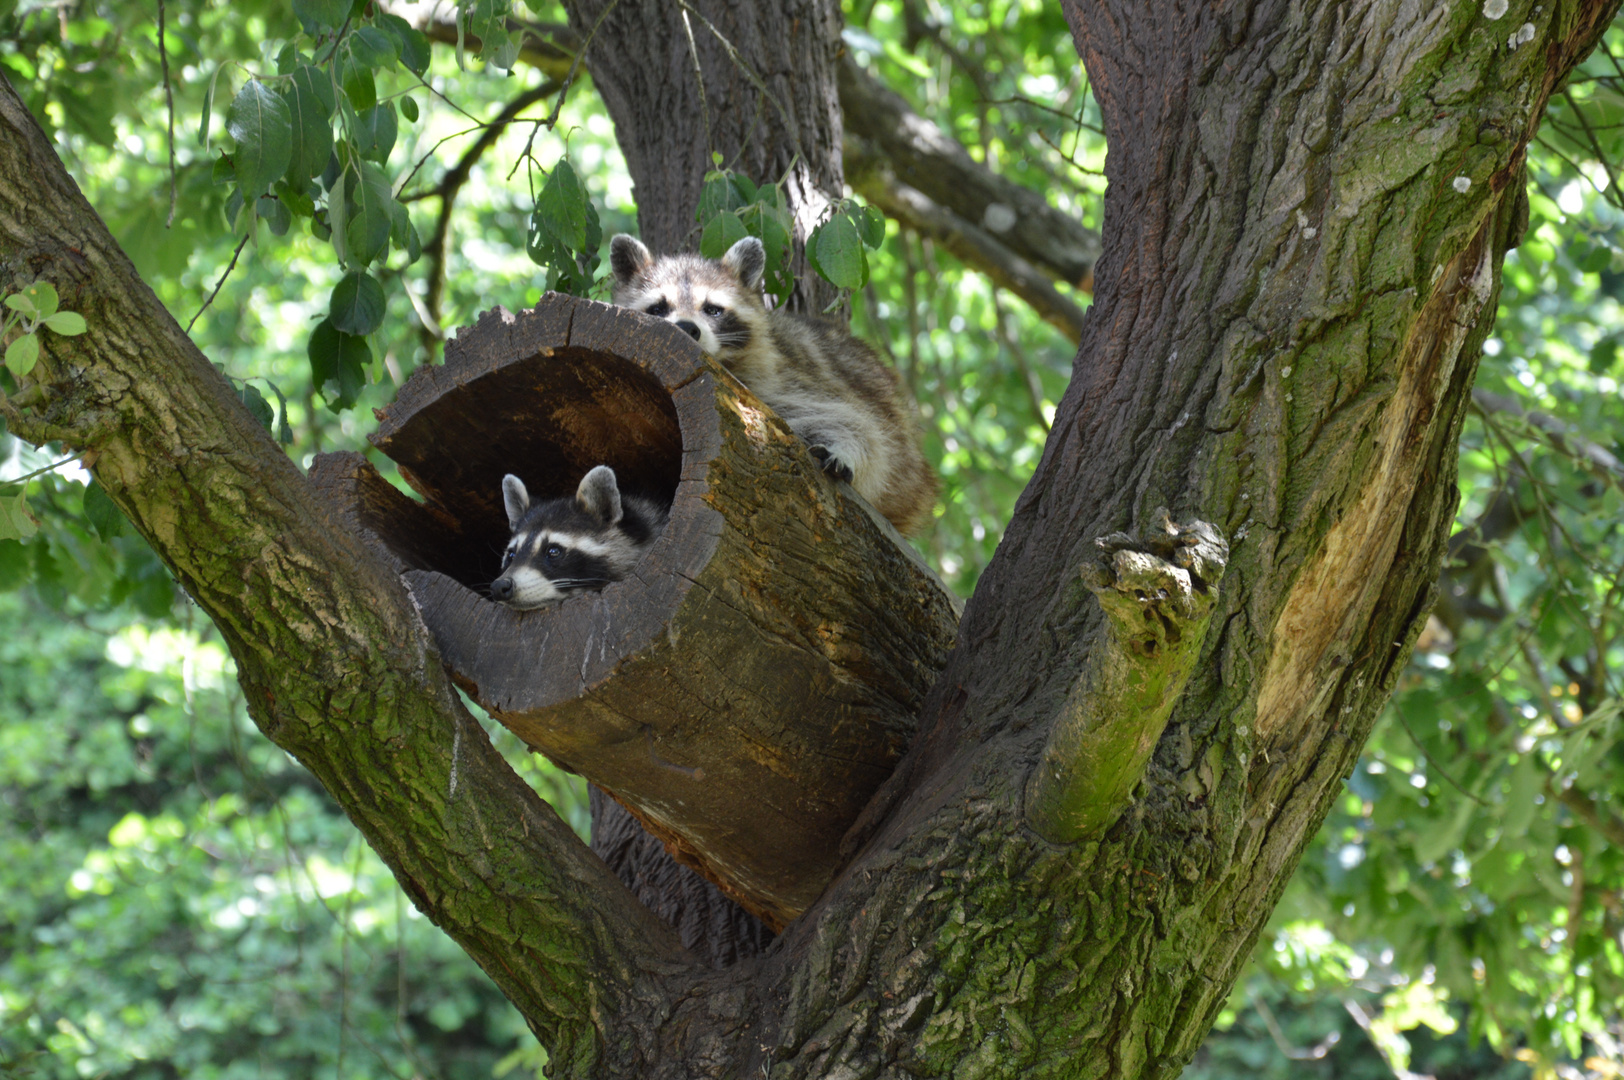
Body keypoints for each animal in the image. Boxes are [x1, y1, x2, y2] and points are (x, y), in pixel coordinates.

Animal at [610, 237, 941, 539]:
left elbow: (855, 423)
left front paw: (845, 447)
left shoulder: (789, 379)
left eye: (713, 309)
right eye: (658, 308)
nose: (686, 328)